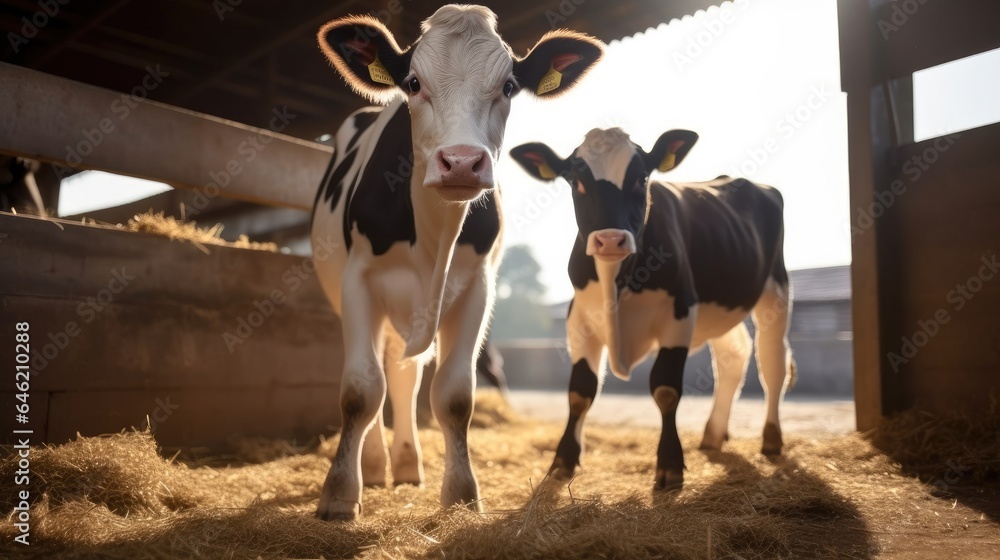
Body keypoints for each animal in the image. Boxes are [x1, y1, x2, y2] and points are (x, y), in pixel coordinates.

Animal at [308, 4, 600, 520]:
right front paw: (340, 494)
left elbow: (455, 394)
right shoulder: (358, 282)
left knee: (404, 376)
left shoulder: (477, 287)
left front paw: (461, 494)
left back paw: (406, 465)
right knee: (383, 376)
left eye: (509, 86)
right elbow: (360, 389)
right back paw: (376, 466)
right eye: (412, 82)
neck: (434, 235)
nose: (461, 162)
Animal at [516, 127, 796, 490]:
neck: (617, 281)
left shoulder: (680, 312)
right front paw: (562, 462)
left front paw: (670, 465)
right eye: (576, 181)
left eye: (641, 178)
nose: (610, 240)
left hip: (775, 287)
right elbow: (580, 391)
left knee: (772, 361)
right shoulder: (578, 319)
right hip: (721, 305)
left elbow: (665, 389)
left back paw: (772, 439)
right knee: (734, 356)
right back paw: (713, 435)